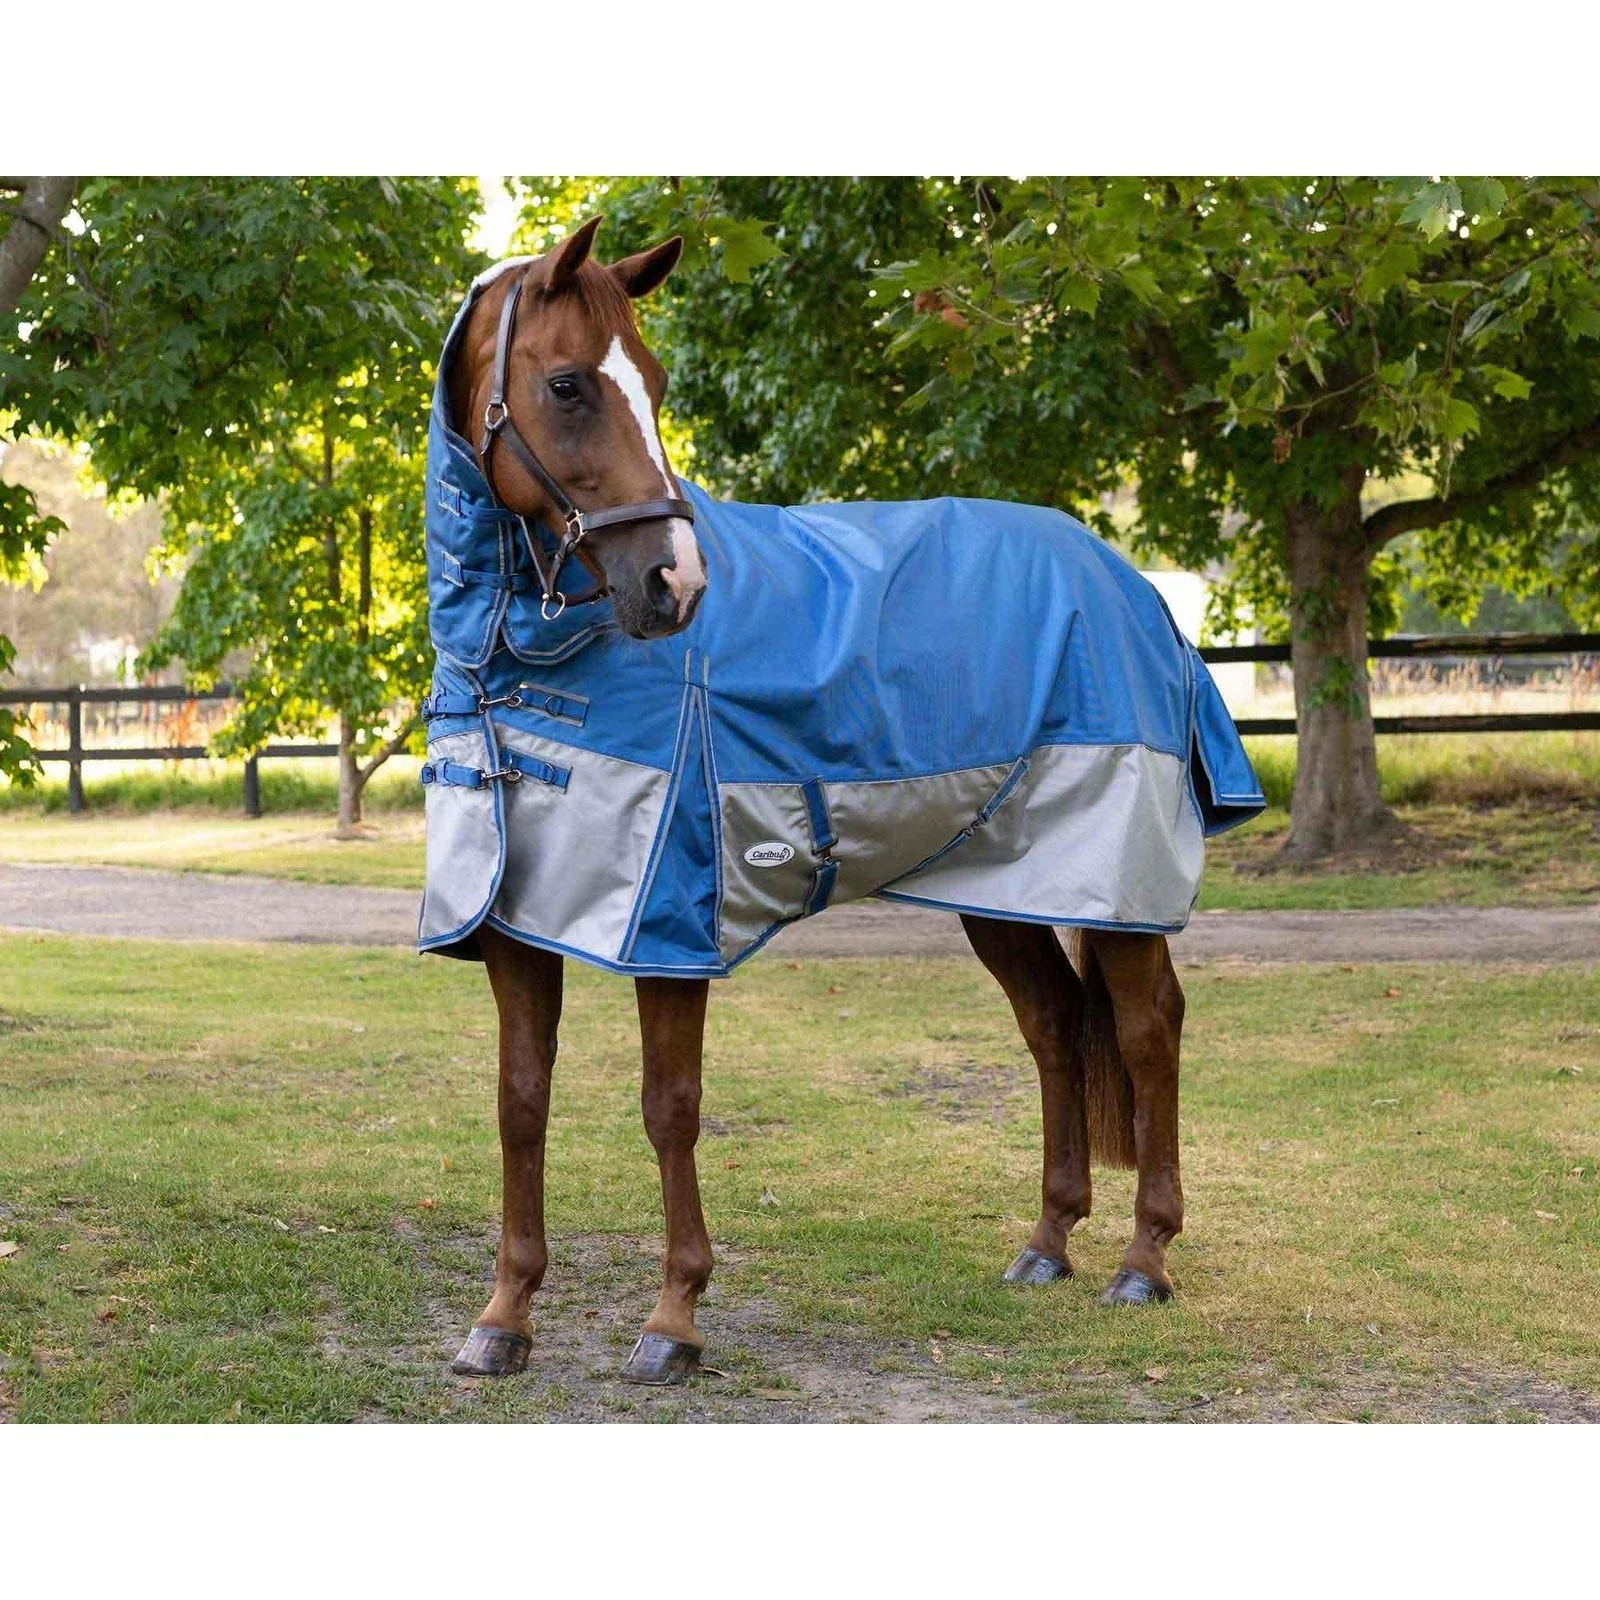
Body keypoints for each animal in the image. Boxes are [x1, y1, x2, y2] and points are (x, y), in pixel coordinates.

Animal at [422, 218, 1263, 1384]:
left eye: (658, 382)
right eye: (567, 384)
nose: (676, 584)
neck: (532, 657)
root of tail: (1135, 588)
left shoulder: (667, 922)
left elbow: (669, 1108)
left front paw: (674, 1319)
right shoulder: (513, 924)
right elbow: (519, 1105)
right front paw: (503, 1317)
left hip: (1116, 887)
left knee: (1146, 1034)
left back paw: (1144, 1261)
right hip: (999, 889)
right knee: (1054, 1026)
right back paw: (1046, 1244)